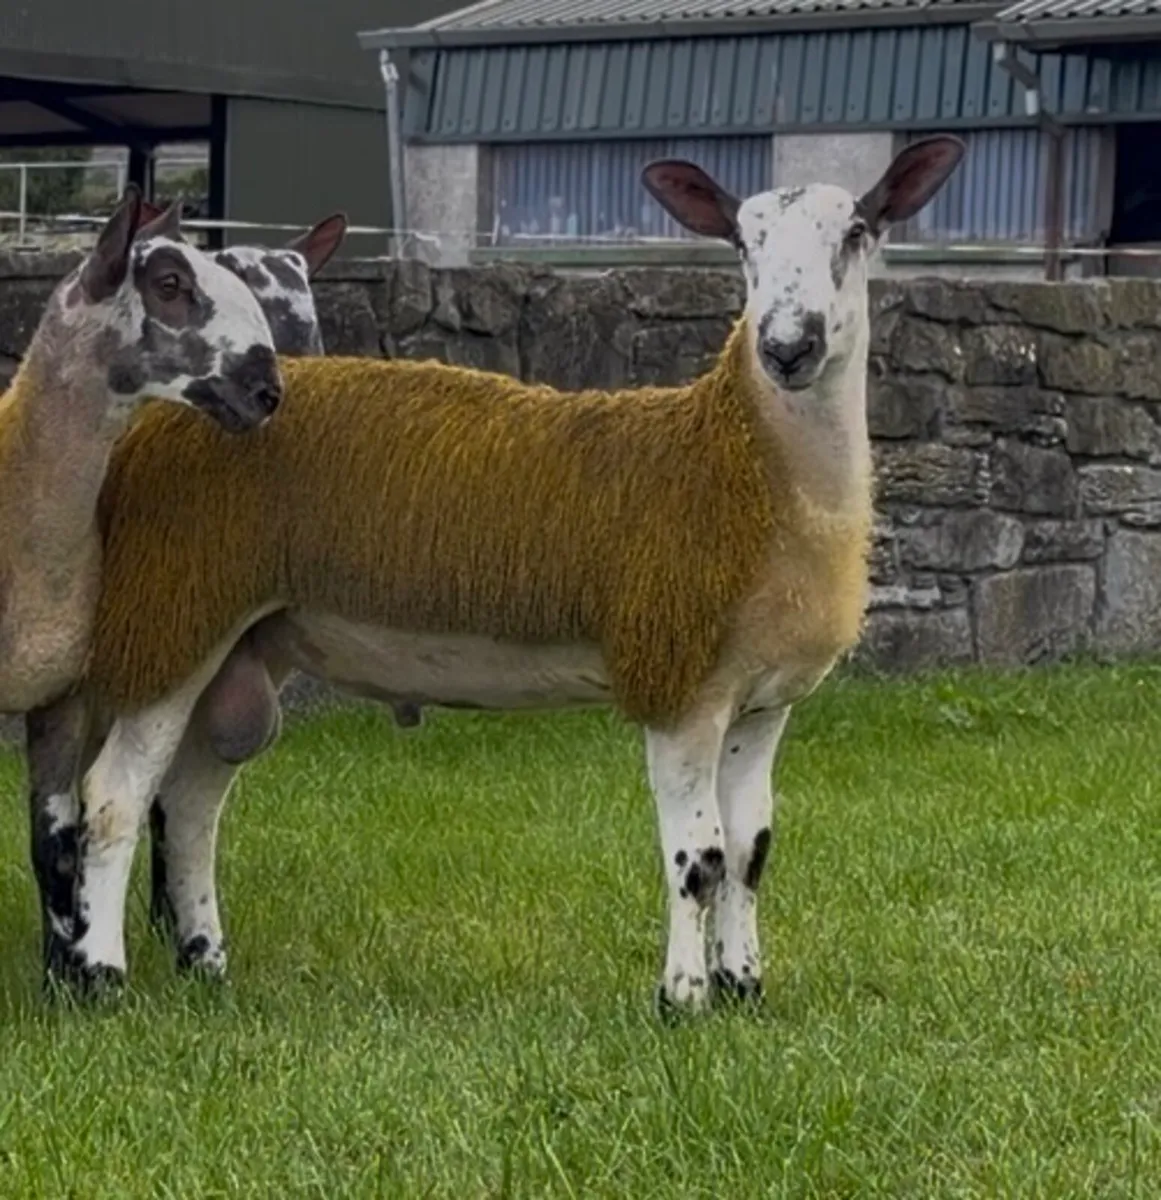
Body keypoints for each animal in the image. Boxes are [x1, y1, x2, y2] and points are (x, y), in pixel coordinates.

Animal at [57, 136, 965, 1011]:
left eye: (857, 232)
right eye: (743, 244)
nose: (785, 348)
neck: (737, 459)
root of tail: (158, 424)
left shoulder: (763, 700)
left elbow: (749, 851)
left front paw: (744, 986)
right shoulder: (676, 679)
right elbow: (697, 859)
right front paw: (682, 997)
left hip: (243, 640)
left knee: (191, 803)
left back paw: (205, 962)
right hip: (169, 613)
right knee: (113, 798)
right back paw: (100, 975)